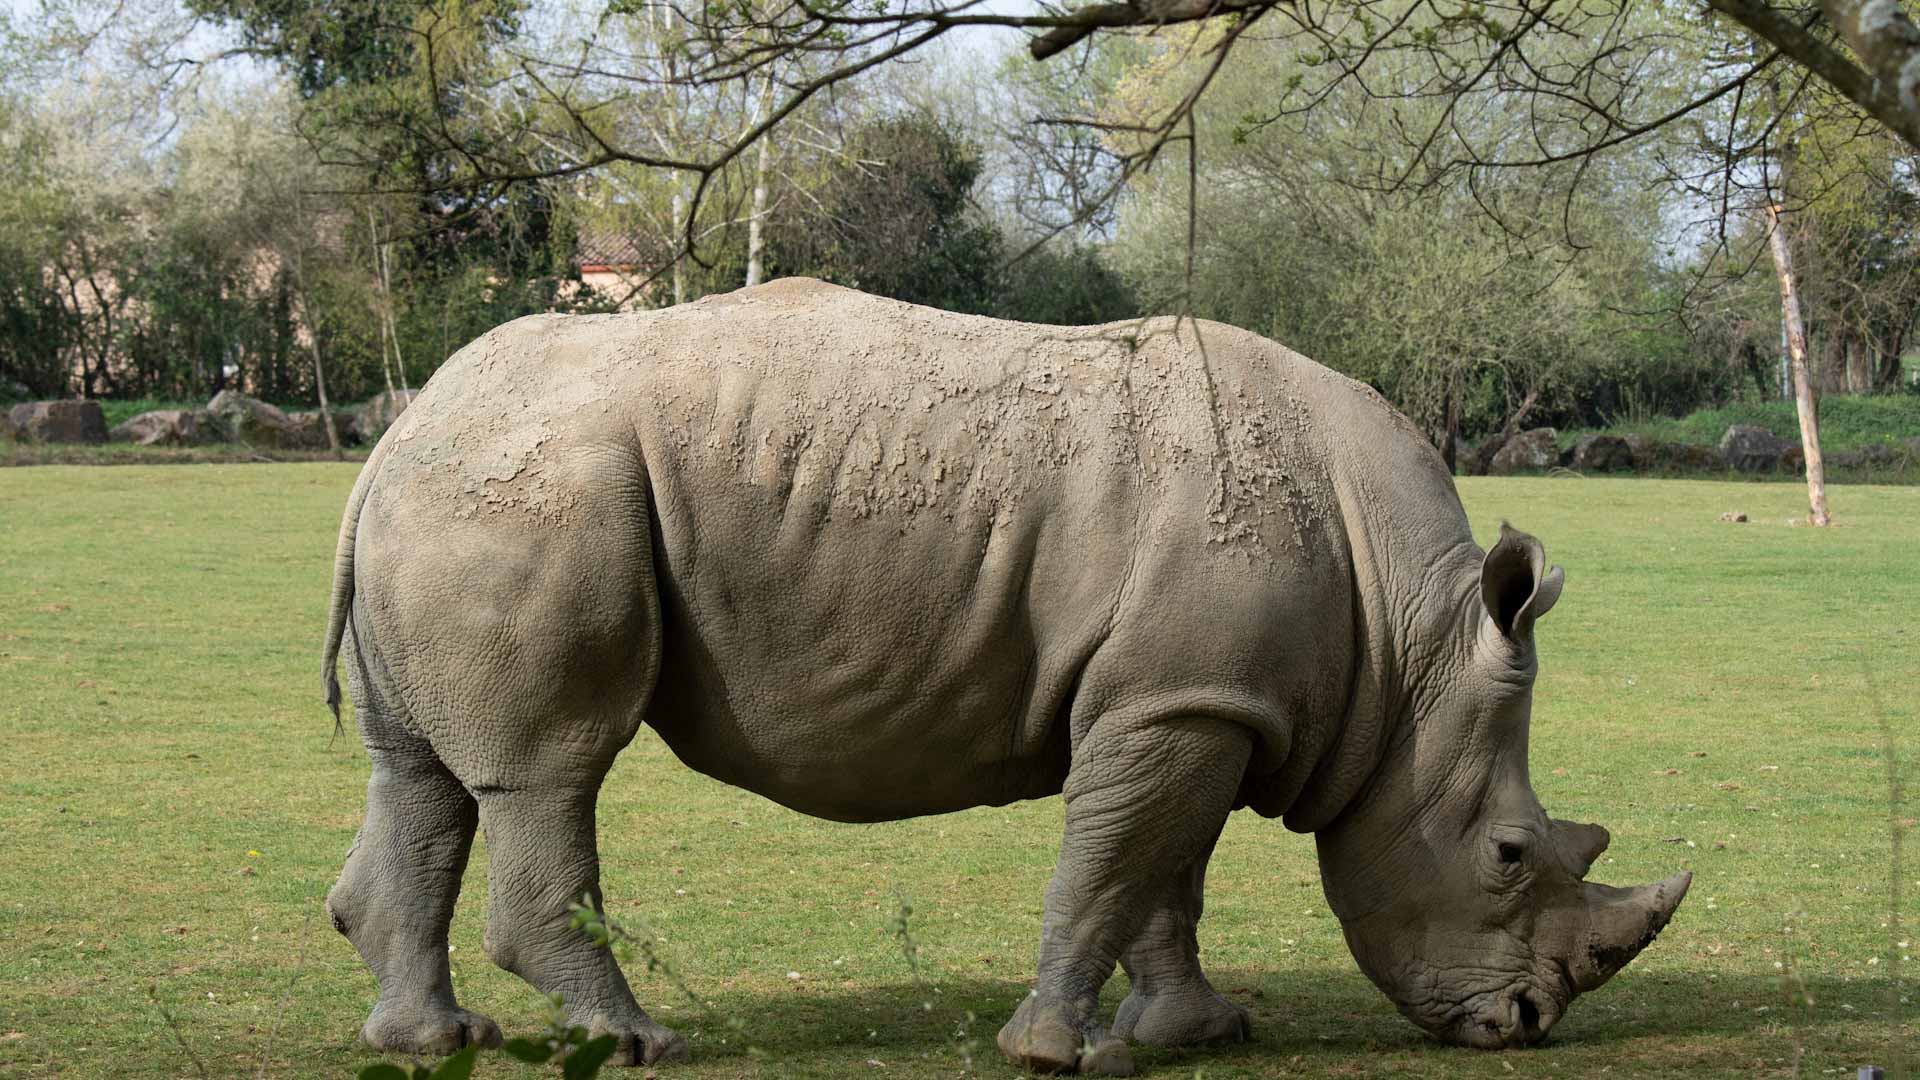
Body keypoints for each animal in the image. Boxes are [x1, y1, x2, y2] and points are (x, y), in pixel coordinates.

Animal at [320, 278, 1688, 1074]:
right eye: (1508, 855)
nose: (1527, 1027)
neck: (1411, 645)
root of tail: (397, 428)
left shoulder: (1196, 699)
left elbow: (1166, 878)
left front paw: (1196, 1034)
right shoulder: (1179, 703)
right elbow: (1113, 868)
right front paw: (1050, 1054)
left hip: (462, 491)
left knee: (421, 775)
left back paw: (433, 1041)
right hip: (534, 496)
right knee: (553, 770)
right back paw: (637, 1043)